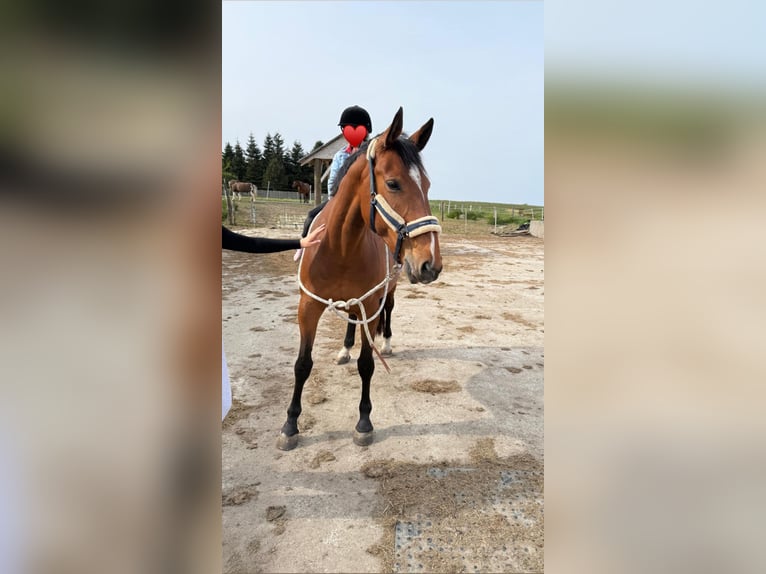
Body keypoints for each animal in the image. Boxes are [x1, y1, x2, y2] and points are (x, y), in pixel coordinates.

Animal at [277, 107, 442, 451]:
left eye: (428, 185)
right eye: (393, 183)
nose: (431, 263)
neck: (341, 246)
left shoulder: (371, 303)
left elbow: (367, 364)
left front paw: (364, 422)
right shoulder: (308, 307)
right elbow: (302, 365)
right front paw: (290, 425)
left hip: (387, 291)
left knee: (389, 311)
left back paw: (387, 343)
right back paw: (344, 349)